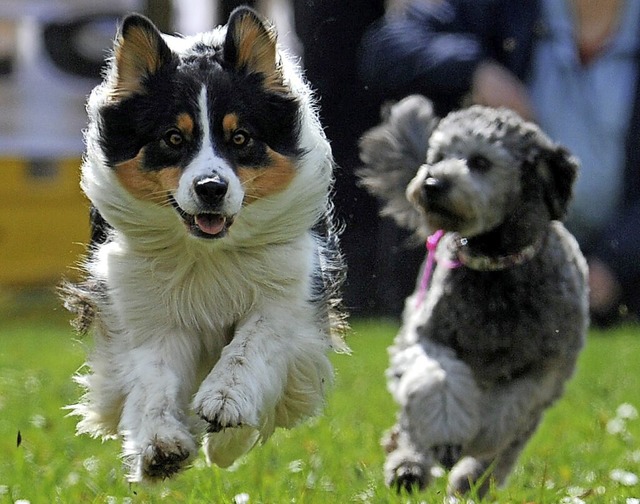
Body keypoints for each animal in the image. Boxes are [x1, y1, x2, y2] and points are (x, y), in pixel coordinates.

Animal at [358, 95, 588, 496]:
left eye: (480, 161)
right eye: (438, 155)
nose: (432, 182)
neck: (495, 266)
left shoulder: (547, 366)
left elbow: (509, 410)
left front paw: (478, 441)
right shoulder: (427, 336)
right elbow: (438, 381)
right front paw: (442, 436)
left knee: (507, 448)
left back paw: (470, 479)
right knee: (413, 420)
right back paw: (409, 466)